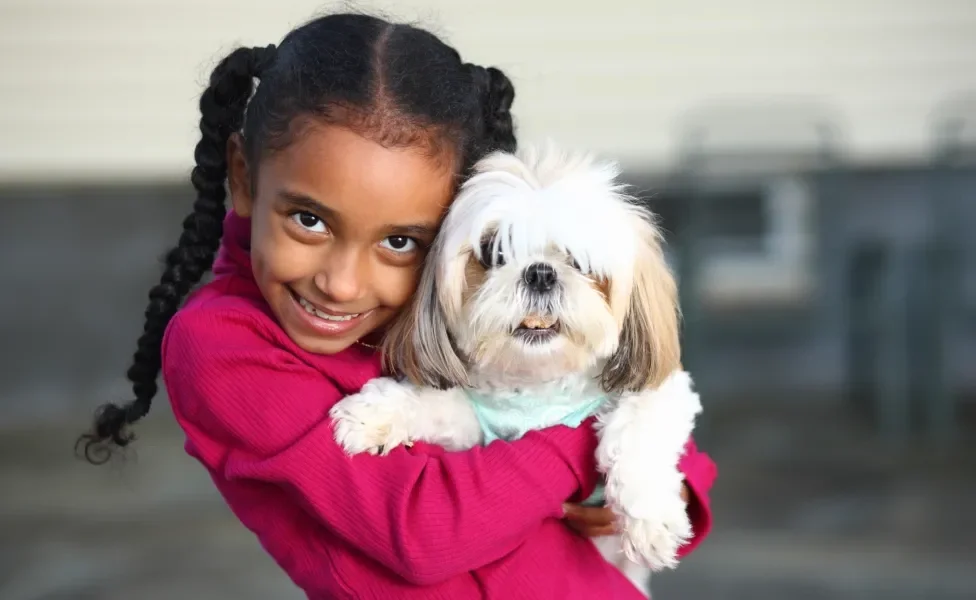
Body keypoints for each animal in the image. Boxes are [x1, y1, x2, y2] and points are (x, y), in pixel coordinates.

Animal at [330, 142, 700, 596]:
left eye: (579, 261)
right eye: (495, 253)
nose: (540, 273)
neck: (535, 386)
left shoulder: (665, 392)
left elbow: (635, 428)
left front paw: (650, 522)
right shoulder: (474, 423)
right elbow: (431, 400)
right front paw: (374, 414)